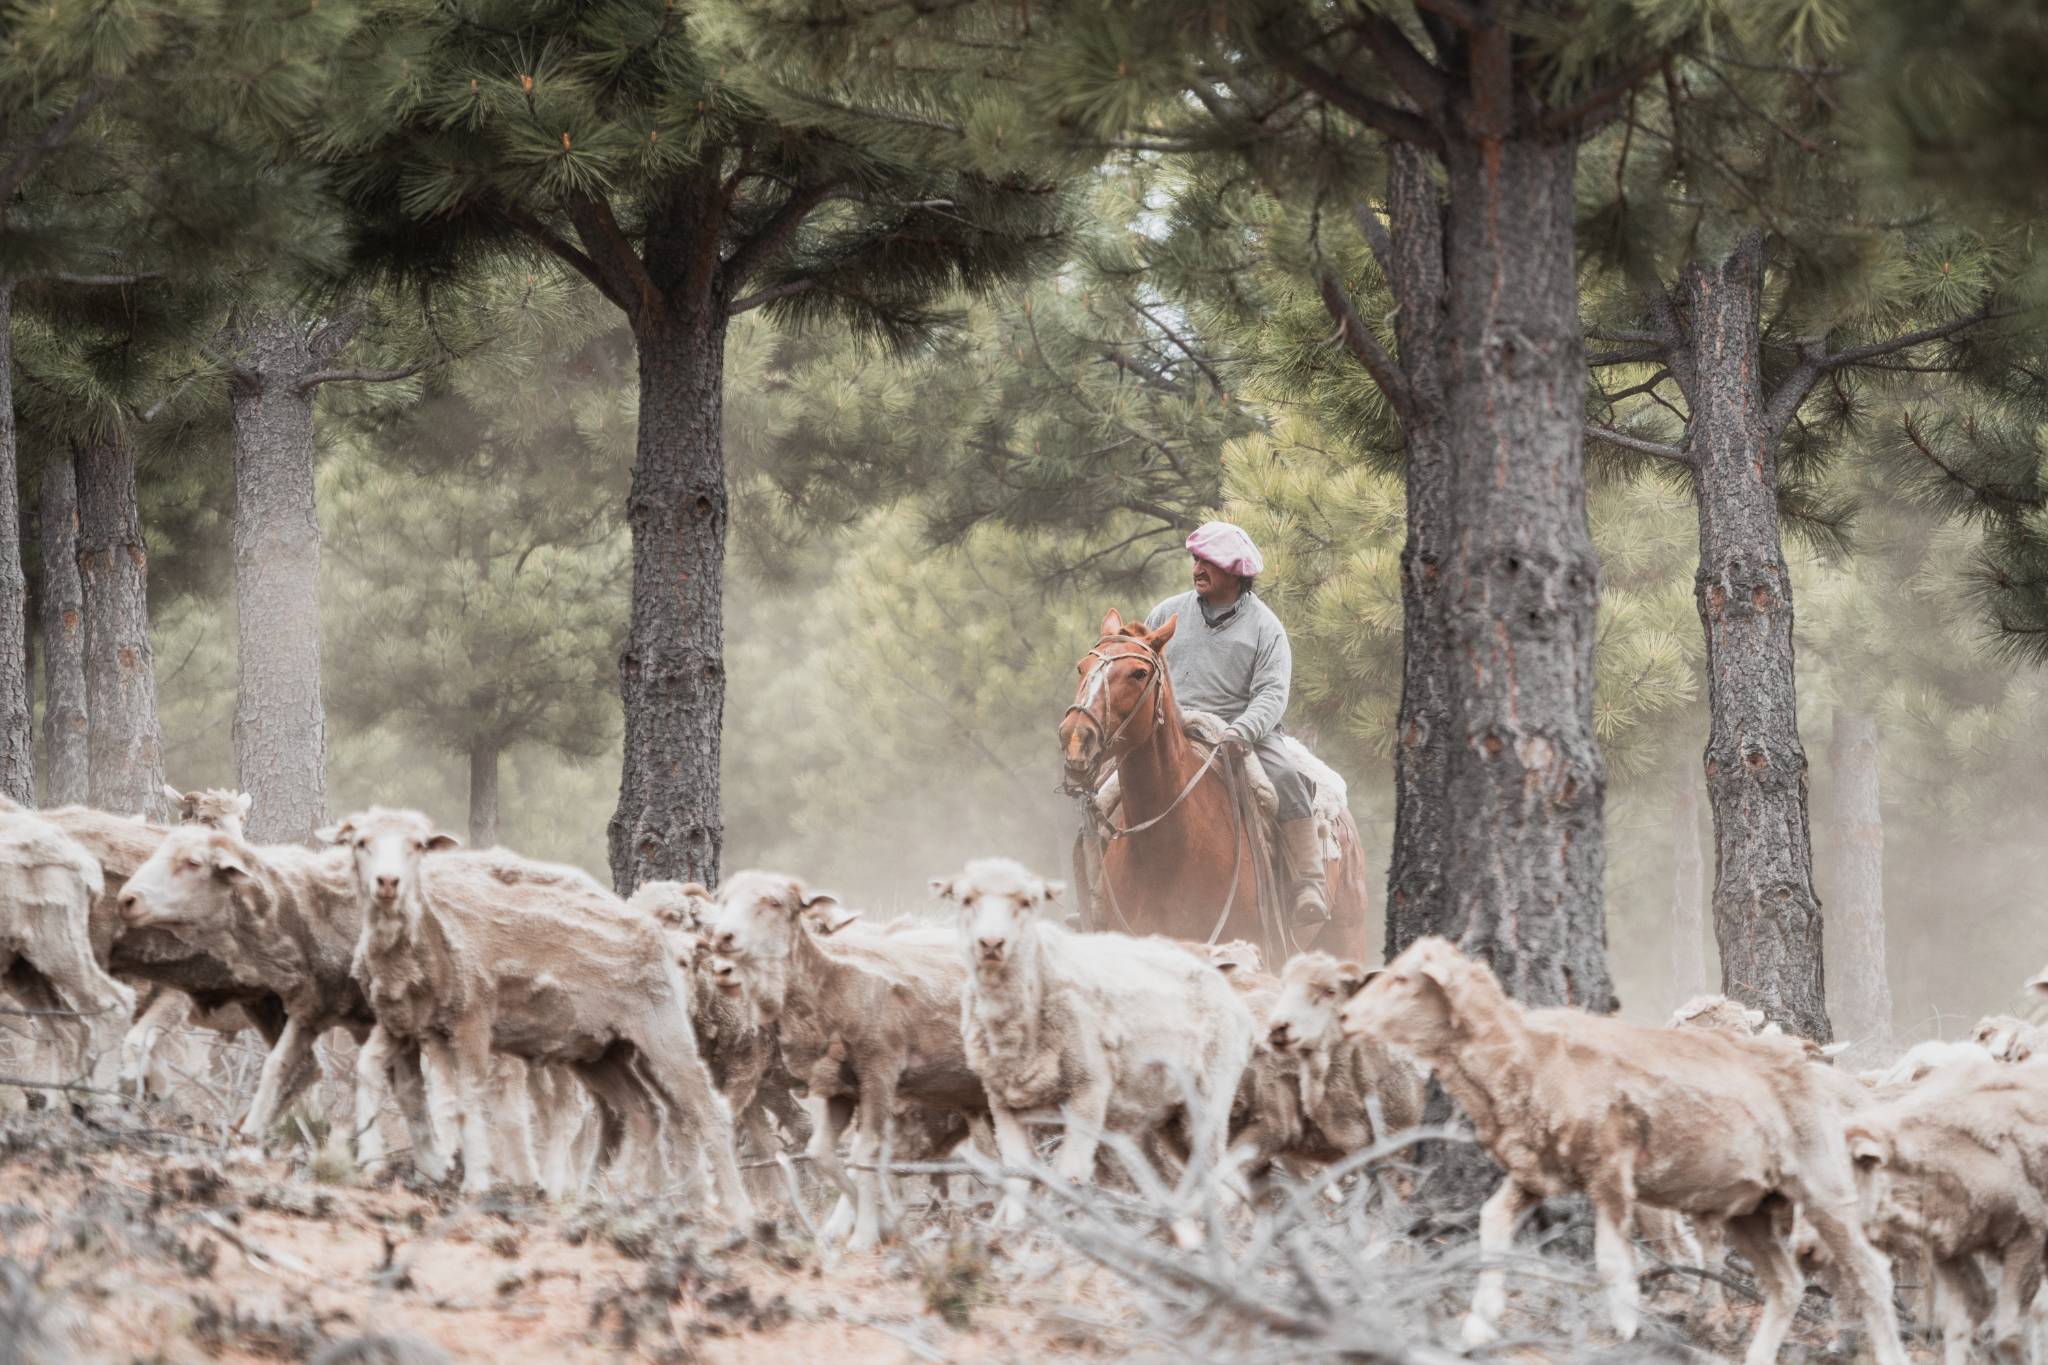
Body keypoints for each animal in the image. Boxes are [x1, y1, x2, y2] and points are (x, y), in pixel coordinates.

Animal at [0, 810, 135, 1103]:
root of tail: (88, 868)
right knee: (62, 1029)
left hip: (56, 946)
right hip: (23, 968)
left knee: (114, 1003)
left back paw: (99, 1102)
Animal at [328, 808, 750, 1216]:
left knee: (706, 1109)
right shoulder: (403, 1024)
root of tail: (652, 931)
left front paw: (474, 1180)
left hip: (661, 1034)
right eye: (360, 842)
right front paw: (383, 1164)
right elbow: (376, 1074)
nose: (387, 882)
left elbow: (468, 1096)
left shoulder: (472, 1022)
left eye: (417, 845)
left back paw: (733, 1208)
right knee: (645, 1112)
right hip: (602, 1053)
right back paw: (608, 1191)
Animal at [706, 869, 984, 1252]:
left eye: (774, 902)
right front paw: (874, 1224)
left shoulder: (879, 1073)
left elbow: (863, 1153)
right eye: (723, 899)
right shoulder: (837, 1087)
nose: (722, 937)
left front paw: (865, 1234)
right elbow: (821, 1151)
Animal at [930, 857, 1256, 1233]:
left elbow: (1069, 1176)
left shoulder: (1089, 1093)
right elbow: (1017, 1177)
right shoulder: (1002, 1104)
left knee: (1219, 1168)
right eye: (965, 900)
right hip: (1171, 1116)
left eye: (1027, 901)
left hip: (1208, 1098)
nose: (992, 943)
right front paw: (1012, 1231)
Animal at [1339, 936, 1905, 1365]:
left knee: (1869, 1271)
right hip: (1758, 1207)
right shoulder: (1541, 1174)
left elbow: (1619, 1259)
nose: (1345, 1016)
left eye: (1404, 981)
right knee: (1791, 1279)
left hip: (1822, 1189)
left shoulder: (1618, 1173)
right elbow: (1492, 1220)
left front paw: (1634, 1323)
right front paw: (1480, 1323)